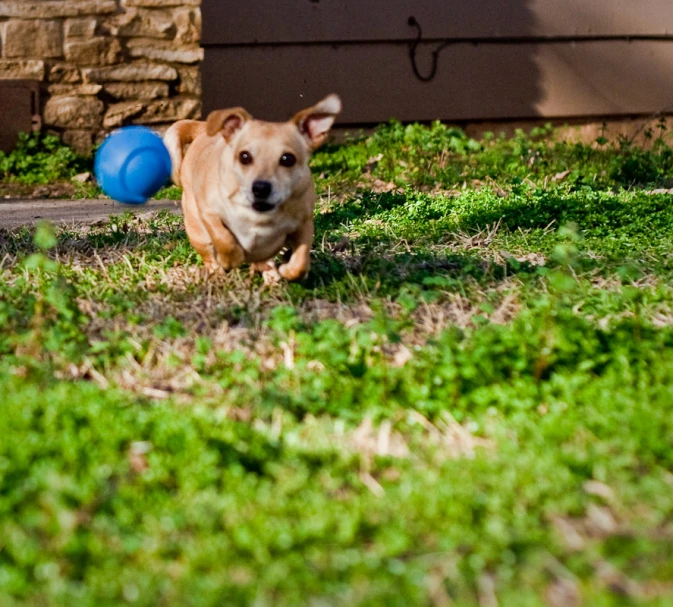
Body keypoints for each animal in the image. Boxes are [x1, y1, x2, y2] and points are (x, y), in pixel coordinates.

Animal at [163, 95, 342, 282]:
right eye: (244, 156)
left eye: (288, 159)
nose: (261, 188)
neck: (258, 215)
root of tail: (203, 130)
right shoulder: (209, 213)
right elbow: (223, 238)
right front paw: (230, 258)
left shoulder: (304, 223)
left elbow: (301, 258)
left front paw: (289, 270)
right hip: (197, 231)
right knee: (209, 256)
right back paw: (219, 272)